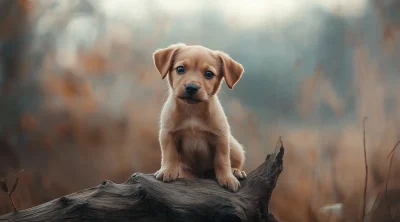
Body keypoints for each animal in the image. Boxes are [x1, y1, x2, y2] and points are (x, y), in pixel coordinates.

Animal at [153, 43, 247, 193]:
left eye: (209, 74)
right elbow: (169, 154)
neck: (193, 112)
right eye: (180, 69)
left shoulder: (221, 137)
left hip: (235, 147)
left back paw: (236, 171)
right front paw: (167, 170)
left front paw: (227, 177)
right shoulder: (167, 134)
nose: (191, 88)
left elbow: (222, 160)